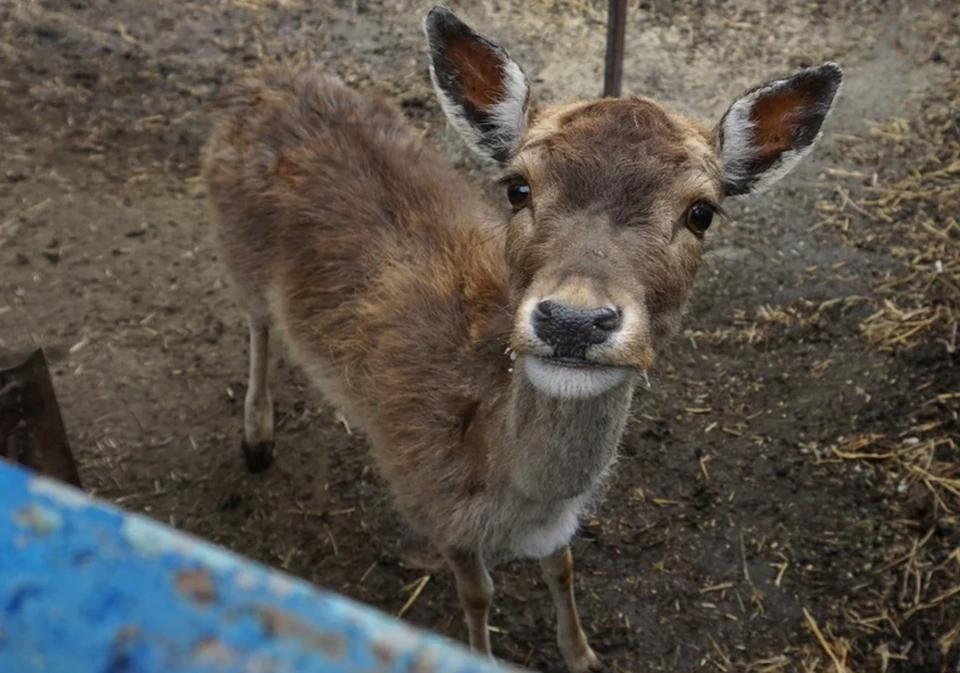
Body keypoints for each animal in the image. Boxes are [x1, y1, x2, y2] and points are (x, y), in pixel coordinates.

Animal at [201, 6, 840, 672]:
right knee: (258, 325)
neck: (511, 489)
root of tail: (262, 77)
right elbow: (477, 594)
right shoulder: (431, 504)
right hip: (235, 250)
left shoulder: (555, 527)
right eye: (517, 187)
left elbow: (562, 566)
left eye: (701, 212)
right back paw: (256, 438)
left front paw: (582, 654)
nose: (573, 320)